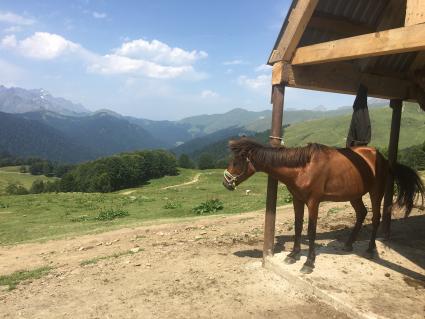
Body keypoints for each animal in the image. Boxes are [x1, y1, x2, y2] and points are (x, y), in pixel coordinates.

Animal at [224, 139, 422, 276]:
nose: (225, 183)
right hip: (354, 195)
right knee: (361, 213)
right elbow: (298, 226)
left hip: (376, 193)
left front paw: (308, 263)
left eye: (236, 162)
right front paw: (293, 255)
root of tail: (382, 158)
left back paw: (370, 249)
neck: (303, 167)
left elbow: (311, 230)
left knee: (375, 218)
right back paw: (348, 244)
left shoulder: (313, 202)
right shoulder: (298, 199)